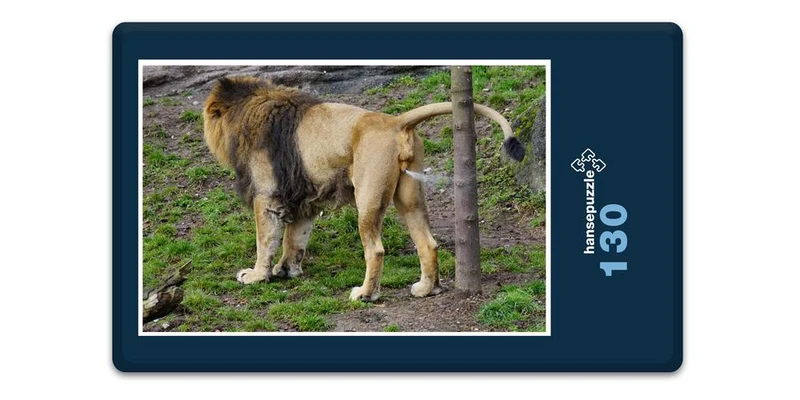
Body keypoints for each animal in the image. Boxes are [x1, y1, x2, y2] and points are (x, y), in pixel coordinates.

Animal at [202, 76, 524, 301]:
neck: (247, 109)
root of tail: (395, 121)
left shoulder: (267, 195)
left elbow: (266, 240)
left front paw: (256, 275)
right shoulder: (304, 198)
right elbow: (295, 239)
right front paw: (287, 270)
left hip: (367, 196)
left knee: (376, 250)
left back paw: (366, 294)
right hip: (409, 196)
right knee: (428, 243)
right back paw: (426, 289)